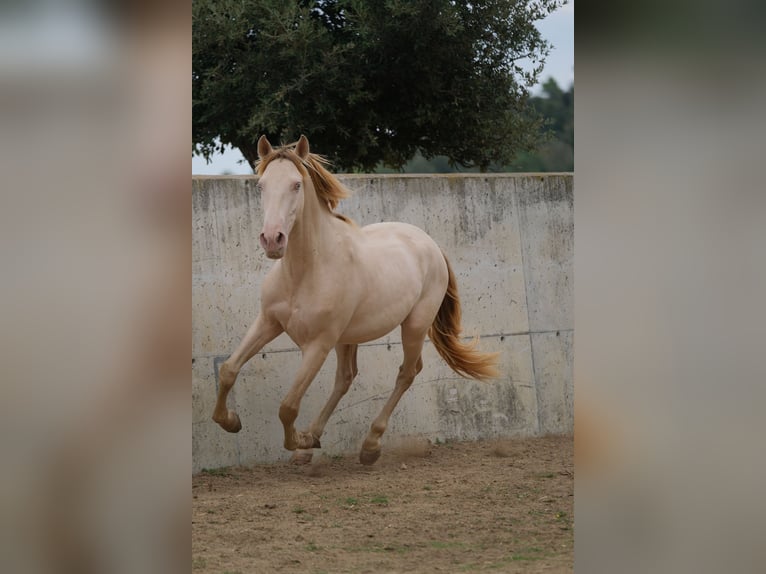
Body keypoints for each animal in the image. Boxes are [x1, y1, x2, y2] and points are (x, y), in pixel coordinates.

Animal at [212, 136, 498, 468]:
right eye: (261, 185)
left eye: (296, 185)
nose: (272, 240)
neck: (305, 271)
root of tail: (431, 244)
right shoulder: (268, 322)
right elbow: (229, 370)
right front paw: (231, 421)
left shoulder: (318, 344)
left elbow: (288, 406)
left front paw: (298, 440)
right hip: (349, 337)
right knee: (346, 378)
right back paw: (313, 439)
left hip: (413, 325)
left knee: (407, 372)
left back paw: (369, 445)